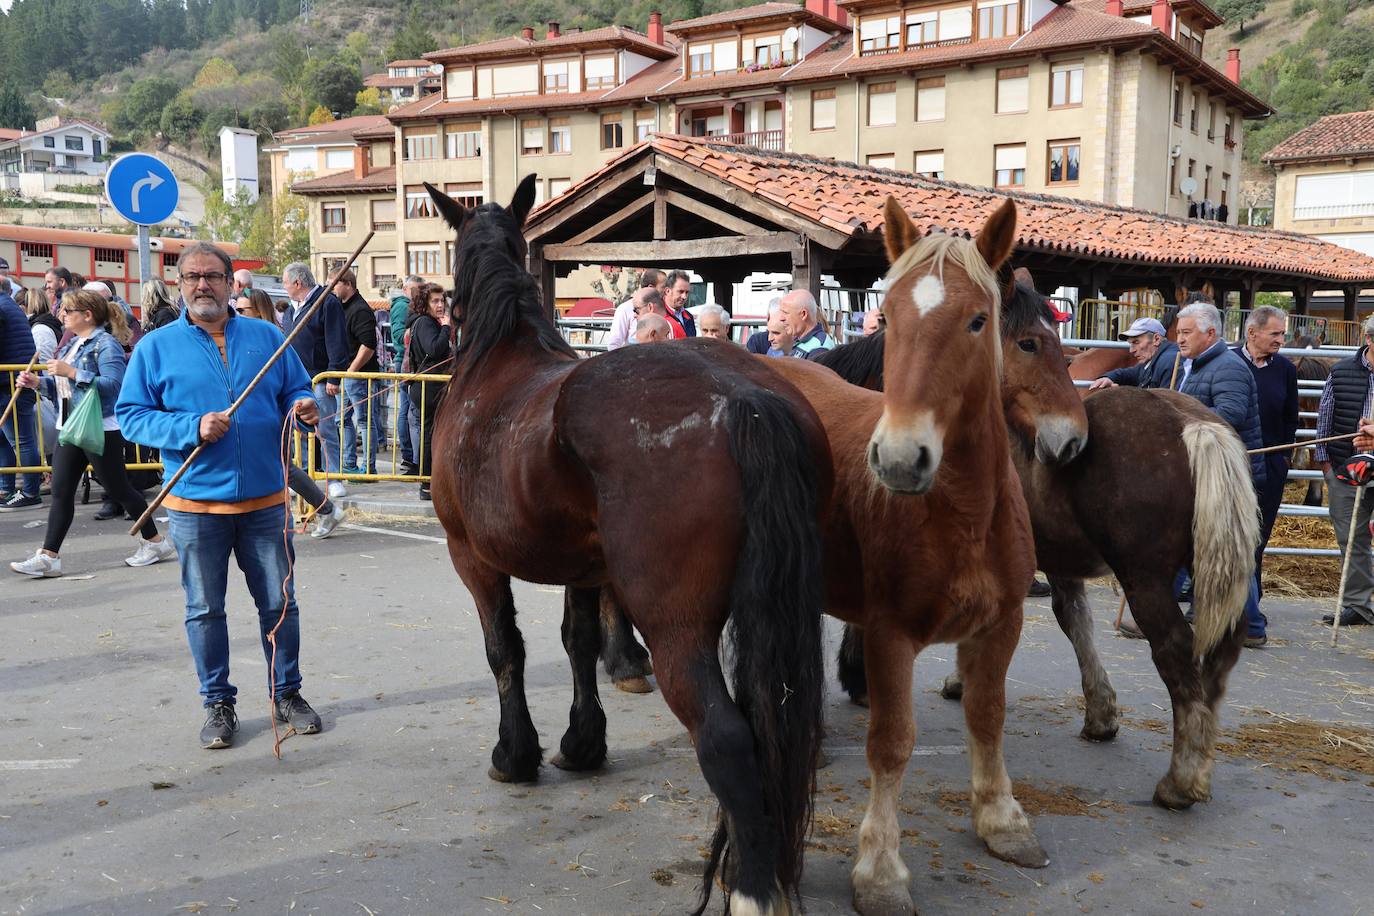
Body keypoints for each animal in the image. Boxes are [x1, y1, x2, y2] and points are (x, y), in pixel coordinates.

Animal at [818, 311, 1258, 813]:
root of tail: (1195, 425)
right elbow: (1073, 621)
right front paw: (1099, 713)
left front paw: (861, 676)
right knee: (1222, 653)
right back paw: (1201, 762)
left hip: (1145, 580)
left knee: (1176, 652)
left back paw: (1179, 781)